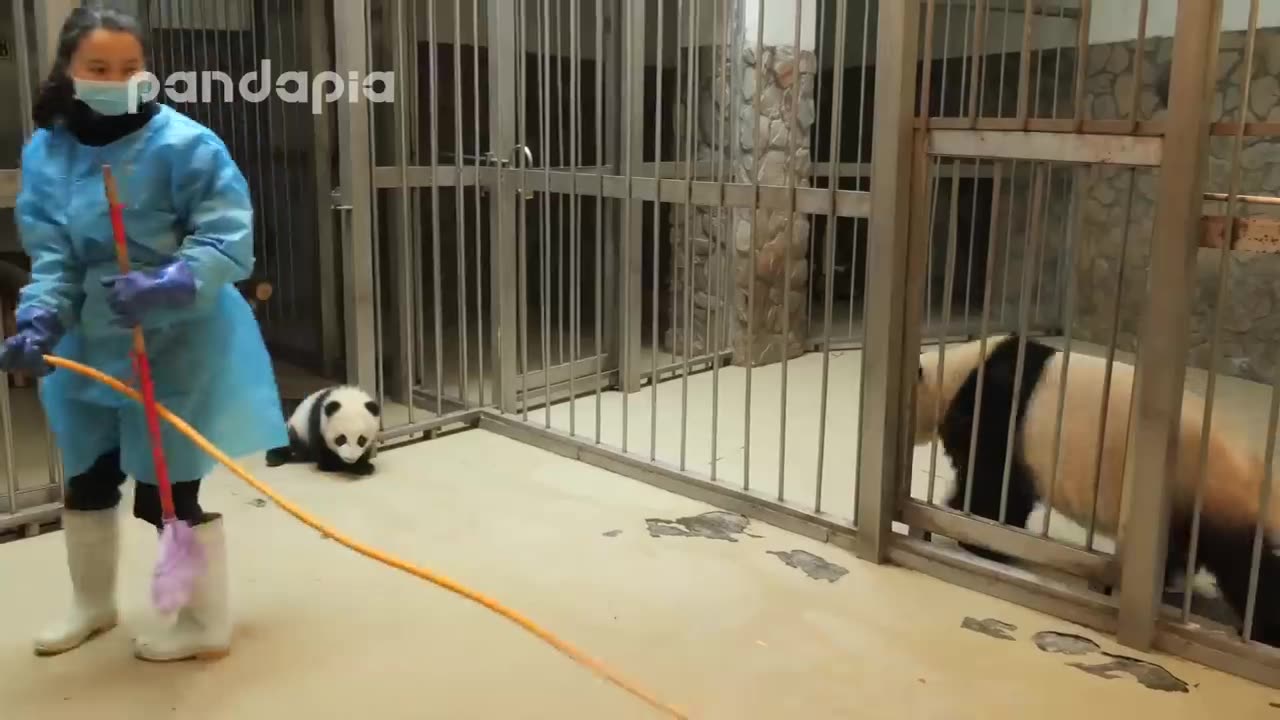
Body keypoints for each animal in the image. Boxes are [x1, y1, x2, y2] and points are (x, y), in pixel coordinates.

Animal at [911, 330, 1280, 645]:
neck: (954, 373)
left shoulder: (993, 412)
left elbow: (995, 485)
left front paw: (971, 531)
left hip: (1210, 492)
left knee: (1244, 566)